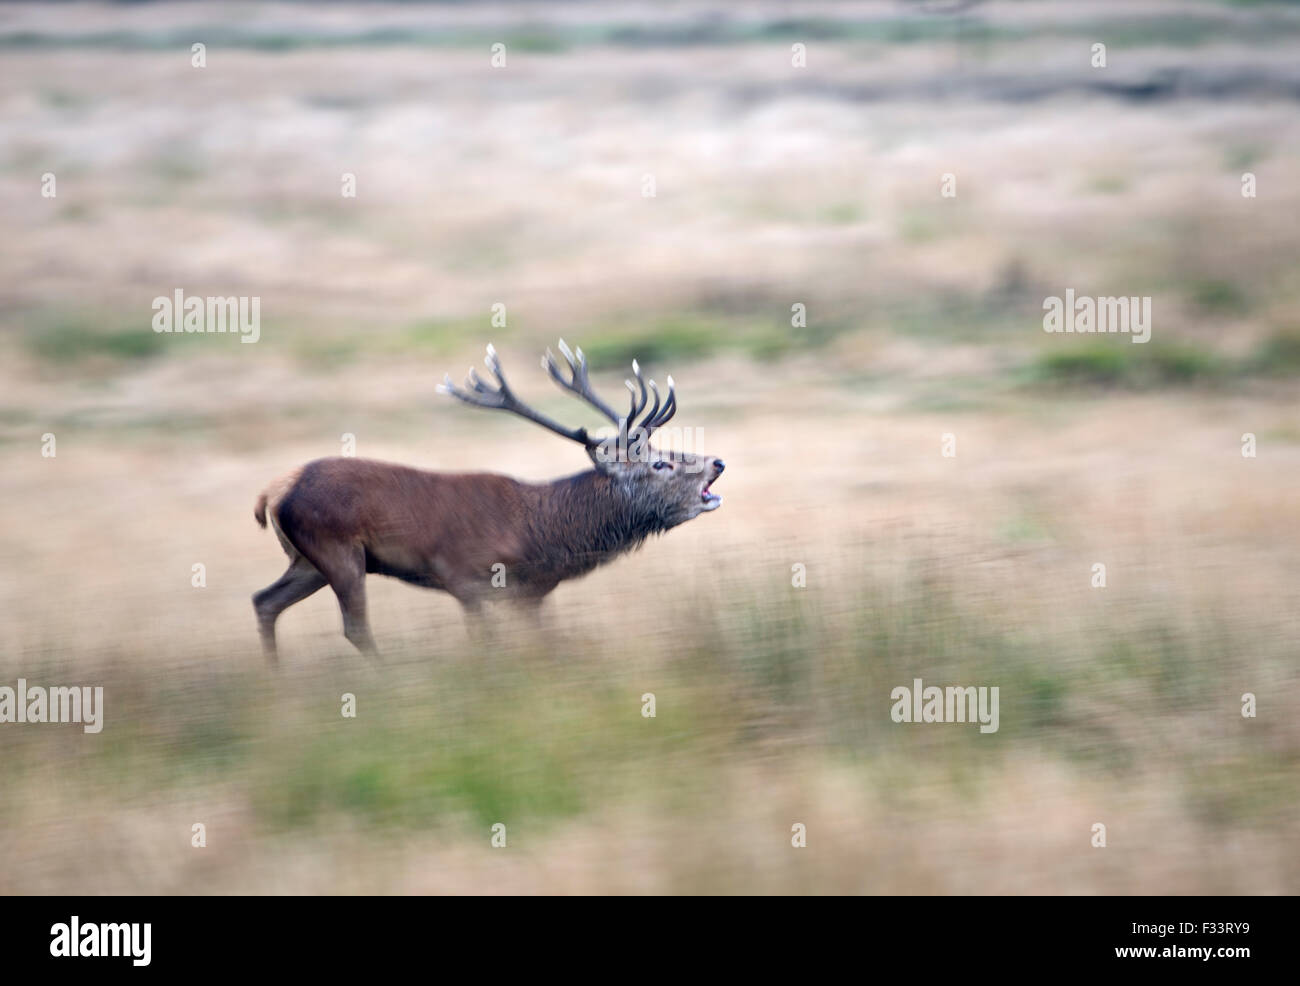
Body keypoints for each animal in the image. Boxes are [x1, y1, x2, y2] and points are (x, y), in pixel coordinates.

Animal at [252, 341, 725, 661]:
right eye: (660, 464)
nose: (716, 461)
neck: (541, 537)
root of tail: (273, 491)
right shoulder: (464, 577)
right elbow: (486, 645)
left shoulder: (531, 596)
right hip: (337, 549)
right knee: (355, 628)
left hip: (307, 560)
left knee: (264, 601)